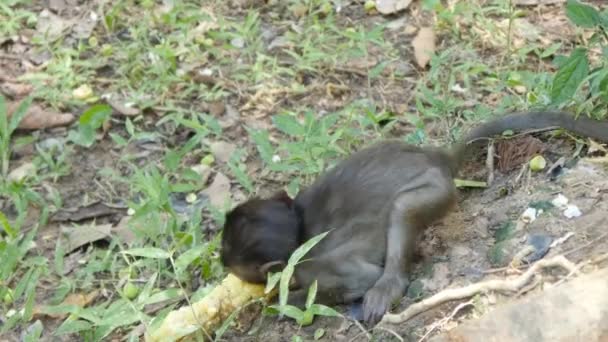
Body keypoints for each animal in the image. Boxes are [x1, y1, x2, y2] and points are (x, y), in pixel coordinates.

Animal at [221, 111, 608, 324]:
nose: (222, 261)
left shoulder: (313, 265)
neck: (299, 228)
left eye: (228, 255)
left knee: (403, 208)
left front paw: (285, 302)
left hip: (437, 189)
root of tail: (434, 156)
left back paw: (390, 285)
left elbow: (358, 280)